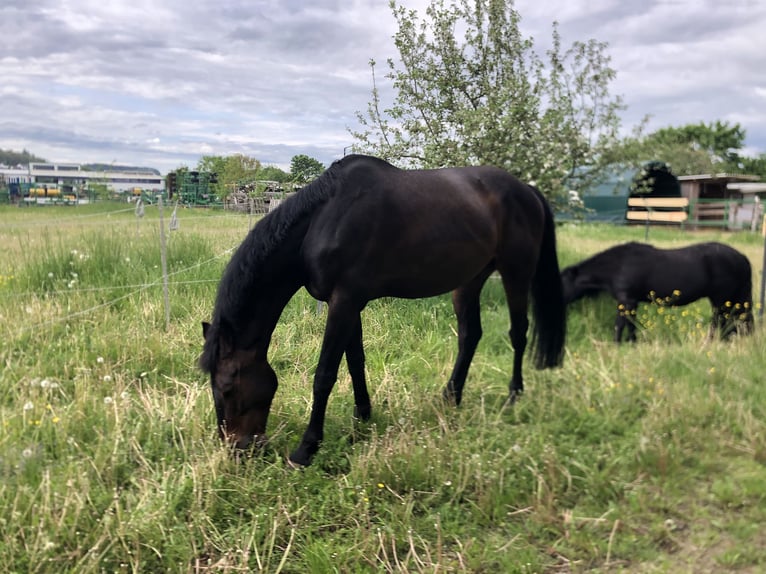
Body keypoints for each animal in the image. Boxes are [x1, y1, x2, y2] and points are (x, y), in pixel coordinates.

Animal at [199, 154, 566, 467]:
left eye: (228, 388)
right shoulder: (347, 303)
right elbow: (355, 362)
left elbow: (325, 375)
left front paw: (306, 449)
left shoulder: (344, 302)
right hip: (469, 281)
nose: (239, 450)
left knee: (518, 334)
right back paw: (450, 397)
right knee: (470, 335)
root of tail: (528, 191)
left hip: (516, 273)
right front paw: (362, 416)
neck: (323, 221)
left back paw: (513, 396)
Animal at [561, 241, 754, 343]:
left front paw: (616, 345)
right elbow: (631, 325)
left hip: (721, 300)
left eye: (560, 282)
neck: (618, 266)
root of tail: (742, 257)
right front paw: (632, 343)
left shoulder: (626, 301)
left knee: (722, 322)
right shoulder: (632, 302)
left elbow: (620, 325)